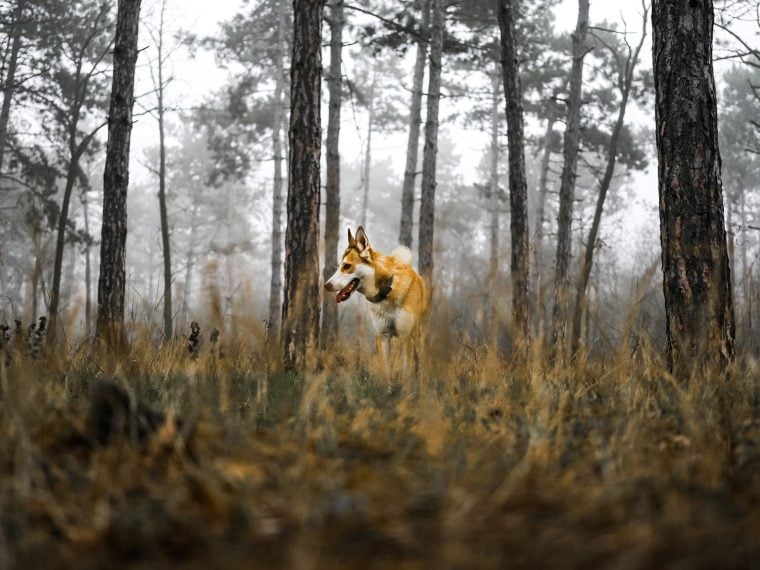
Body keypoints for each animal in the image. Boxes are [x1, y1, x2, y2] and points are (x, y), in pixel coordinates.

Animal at [324, 224, 428, 370]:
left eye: (347, 266)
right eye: (339, 266)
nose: (326, 286)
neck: (386, 292)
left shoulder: (406, 337)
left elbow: (406, 373)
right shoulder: (382, 337)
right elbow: (386, 371)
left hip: (418, 339)